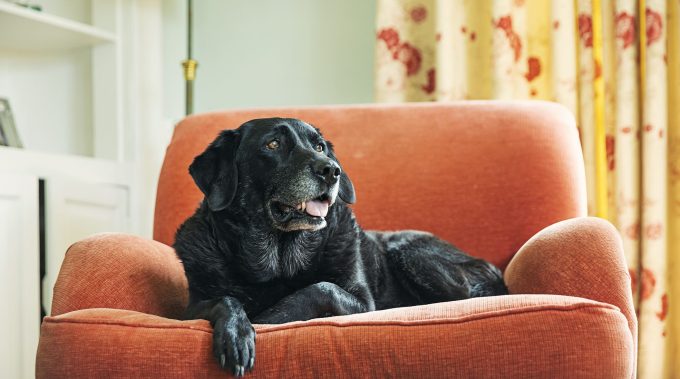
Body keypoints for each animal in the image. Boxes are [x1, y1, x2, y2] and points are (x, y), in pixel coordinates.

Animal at [174, 118, 504, 378]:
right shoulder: (188, 311)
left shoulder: (362, 303)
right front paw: (237, 331)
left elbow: (320, 288)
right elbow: (225, 299)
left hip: (410, 252)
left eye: (320, 147)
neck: (278, 262)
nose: (331, 170)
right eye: (272, 144)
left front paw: (265, 318)